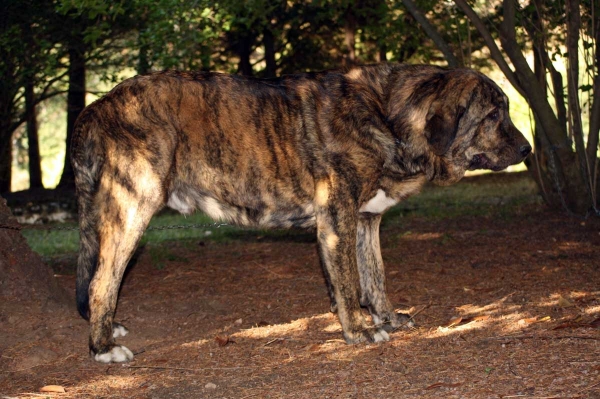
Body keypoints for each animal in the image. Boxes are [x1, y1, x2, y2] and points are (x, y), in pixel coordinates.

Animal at [71, 62, 528, 362]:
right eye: (493, 115)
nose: (527, 149)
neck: (389, 118)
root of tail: (97, 107)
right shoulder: (338, 220)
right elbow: (348, 284)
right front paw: (359, 330)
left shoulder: (366, 222)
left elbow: (374, 277)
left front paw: (386, 318)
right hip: (133, 208)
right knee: (101, 283)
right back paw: (103, 348)